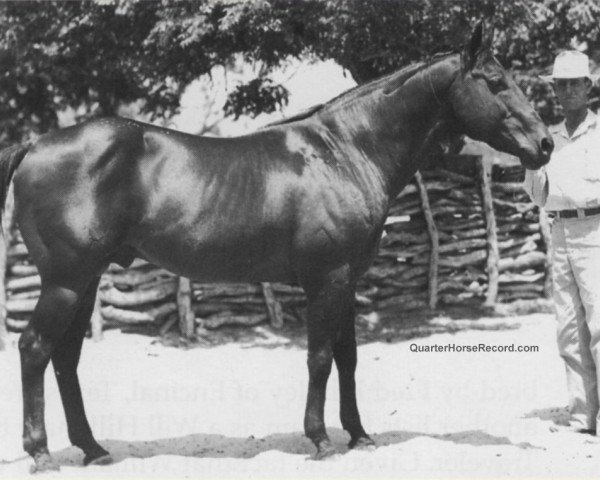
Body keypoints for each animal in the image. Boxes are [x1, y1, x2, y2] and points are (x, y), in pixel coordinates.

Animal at [1, 23, 552, 472]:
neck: (346, 151)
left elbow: (349, 357)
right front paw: (321, 439)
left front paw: (359, 435)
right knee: (34, 349)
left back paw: (92, 449)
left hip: (86, 281)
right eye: (495, 81)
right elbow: (320, 358)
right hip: (66, 282)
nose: (545, 143)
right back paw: (42, 452)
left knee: (65, 357)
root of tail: (34, 145)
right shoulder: (326, 279)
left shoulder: (347, 281)